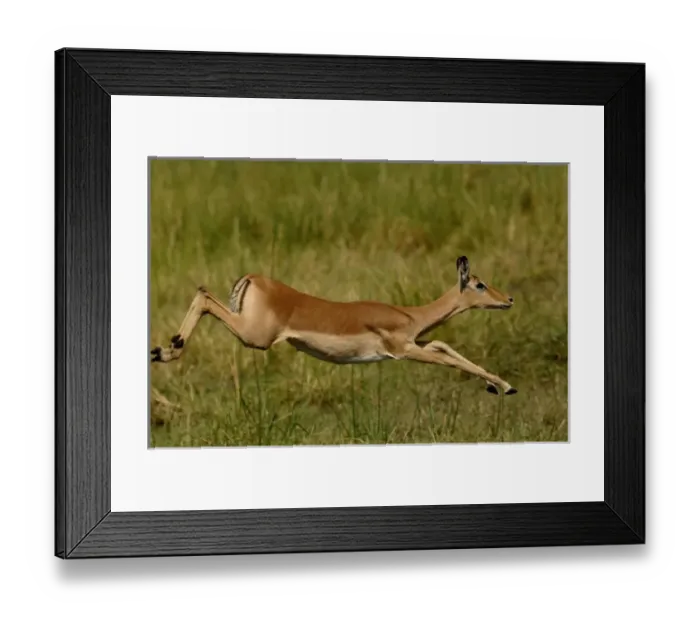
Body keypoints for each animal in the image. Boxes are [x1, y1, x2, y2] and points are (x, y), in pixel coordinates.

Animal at [150, 256, 518, 395]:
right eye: (480, 284)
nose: (509, 299)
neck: (410, 314)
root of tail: (253, 278)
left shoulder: (417, 343)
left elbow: (444, 346)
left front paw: (500, 385)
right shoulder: (403, 349)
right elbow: (445, 357)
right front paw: (505, 386)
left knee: (202, 294)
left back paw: (163, 350)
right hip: (256, 337)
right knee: (203, 295)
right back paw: (168, 350)